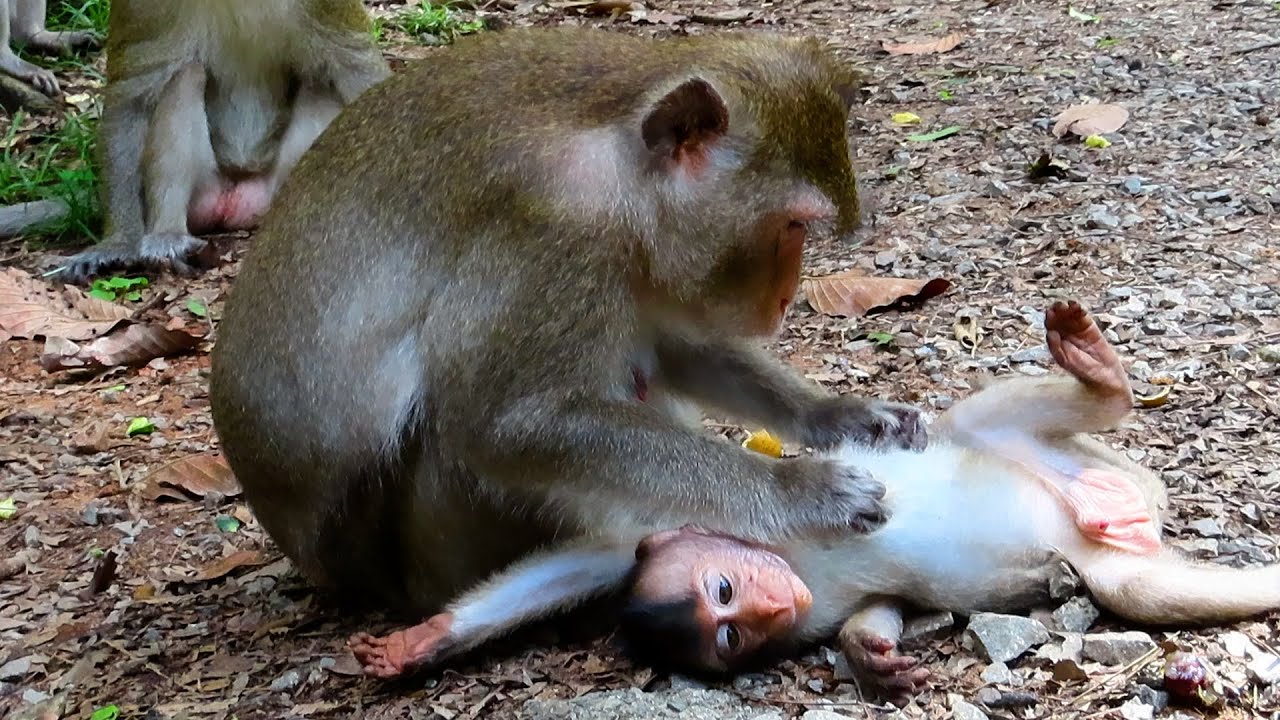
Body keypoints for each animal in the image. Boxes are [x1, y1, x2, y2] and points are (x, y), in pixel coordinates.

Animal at [53, 0, 390, 281]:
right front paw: (117, 242)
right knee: (185, 76)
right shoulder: (140, 8)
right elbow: (130, 101)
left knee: (319, 80)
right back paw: (168, 236)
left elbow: (357, 69)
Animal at [209, 26, 928, 646]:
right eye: (791, 225)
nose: (784, 295)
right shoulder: (553, 234)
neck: (618, 162)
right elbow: (507, 426)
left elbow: (672, 348)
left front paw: (841, 416)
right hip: (440, 555)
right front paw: (800, 491)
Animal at [345, 301, 1280, 690]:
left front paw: (423, 634)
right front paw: (872, 656)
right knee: (1137, 585)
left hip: (1041, 453)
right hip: (1105, 543)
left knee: (978, 422)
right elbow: (878, 608)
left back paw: (1098, 371)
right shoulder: (816, 608)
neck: (783, 559)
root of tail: (1117, 505)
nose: (765, 607)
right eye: (727, 633)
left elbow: (595, 555)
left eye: (724, 589)